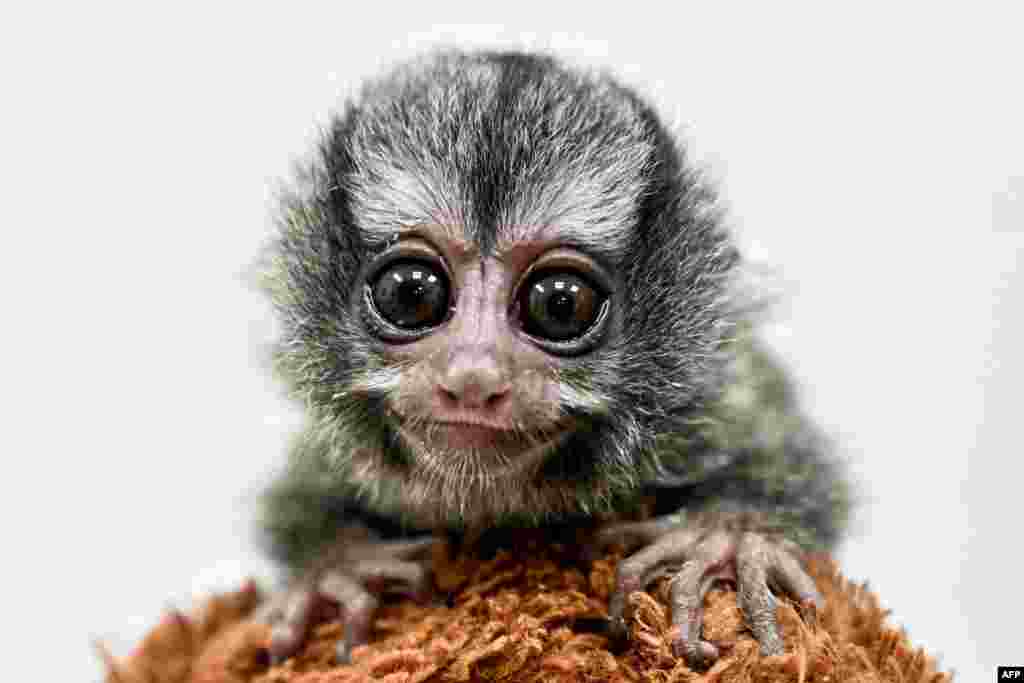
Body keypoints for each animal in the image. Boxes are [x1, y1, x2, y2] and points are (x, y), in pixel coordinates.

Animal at [256, 50, 847, 671]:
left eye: (560, 304)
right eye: (410, 293)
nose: (473, 378)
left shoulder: (710, 404)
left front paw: (725, 538)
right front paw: (334, 567)